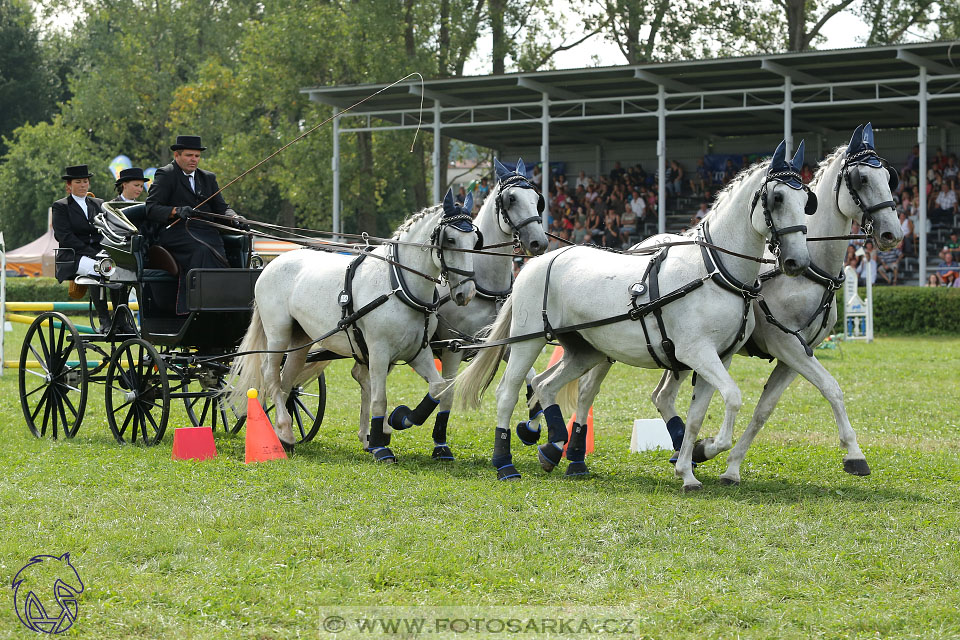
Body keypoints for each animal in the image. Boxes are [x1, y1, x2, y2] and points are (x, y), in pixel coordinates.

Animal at [226, 190, 480, 460]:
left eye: (475, 240)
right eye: (450, 239)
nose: (466, 293)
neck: (398, 285)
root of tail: (272, 263)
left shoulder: (417, 352)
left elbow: (438, 387)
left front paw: (401, 419)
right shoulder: (379, 351)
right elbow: (380, 399)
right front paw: (380, 443)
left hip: (301, 340)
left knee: (287, 380)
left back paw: (283, 434)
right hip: (278, 334)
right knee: (271, 374)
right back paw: (284, 428)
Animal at [428, 159, 548, 460]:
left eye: (537, 199)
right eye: (511, 199)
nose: (539, 243)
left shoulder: (500, 343)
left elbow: (530, 379)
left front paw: (531, 425)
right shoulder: (452, 347)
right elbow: (447, 393)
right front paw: (440, 443)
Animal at [456, 141, 808, 490]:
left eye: (807, 200)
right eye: (777, 198)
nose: (797, 261)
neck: (714, 270)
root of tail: (536, 263)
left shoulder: (722, 356)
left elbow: (697, 415)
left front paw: (689, 467)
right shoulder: (697, 352)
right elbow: (733, 397)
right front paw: (705, 449)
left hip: (585, 350)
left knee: (545, 385)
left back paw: (554, 448)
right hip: (526, 341)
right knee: (508, 392)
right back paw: (506, 464)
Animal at [572, 124, 904, 484]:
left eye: (888, 176)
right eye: (861, 179)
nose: (893, 233)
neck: (809, 270)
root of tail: (642, 244)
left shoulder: (795, 355)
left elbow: (764, 410)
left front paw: (728, 463)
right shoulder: (787, 345)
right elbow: (832, 388)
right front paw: (854, 454)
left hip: (674, 352)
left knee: (663, 396)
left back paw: (683, 453)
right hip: (615, 344)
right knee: (589, 388)